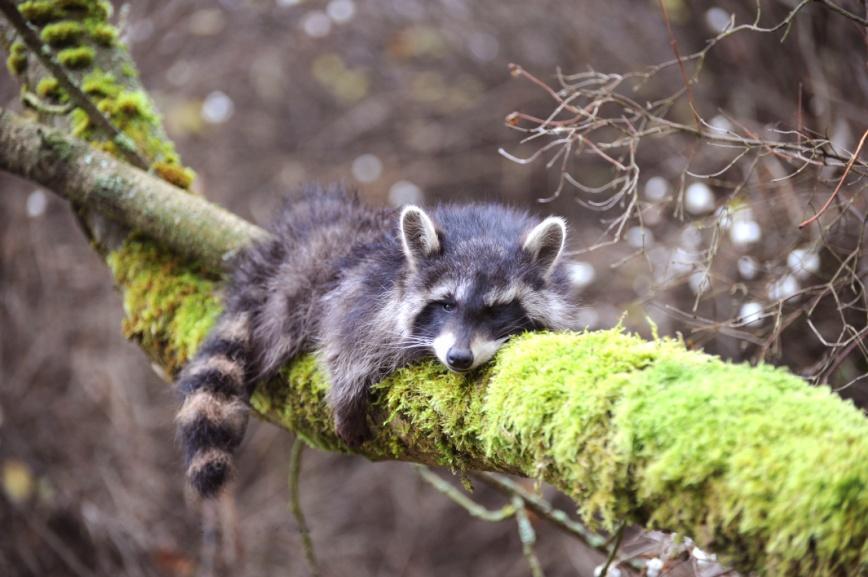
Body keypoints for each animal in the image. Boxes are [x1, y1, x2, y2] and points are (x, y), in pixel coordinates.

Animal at [175, 183, 576, 496]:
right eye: (447, 303)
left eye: (495, 311)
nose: (459, 358)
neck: (484, 230)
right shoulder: (371, 286)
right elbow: (346, 333)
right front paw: (347, 384)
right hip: (303, 273)